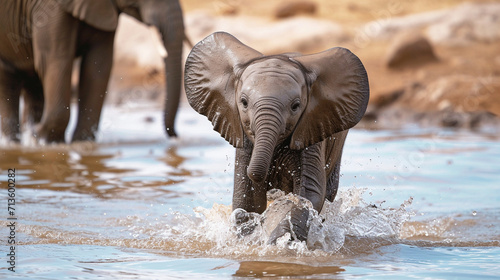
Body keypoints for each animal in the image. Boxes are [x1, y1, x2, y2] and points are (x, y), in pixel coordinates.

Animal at [0, 0, 186, 143]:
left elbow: (98, 66)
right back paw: (16, 142)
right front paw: (42, 138)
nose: (175, 135)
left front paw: (80, 142)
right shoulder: (48, 7)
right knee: (8, 83)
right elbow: (55, 60)